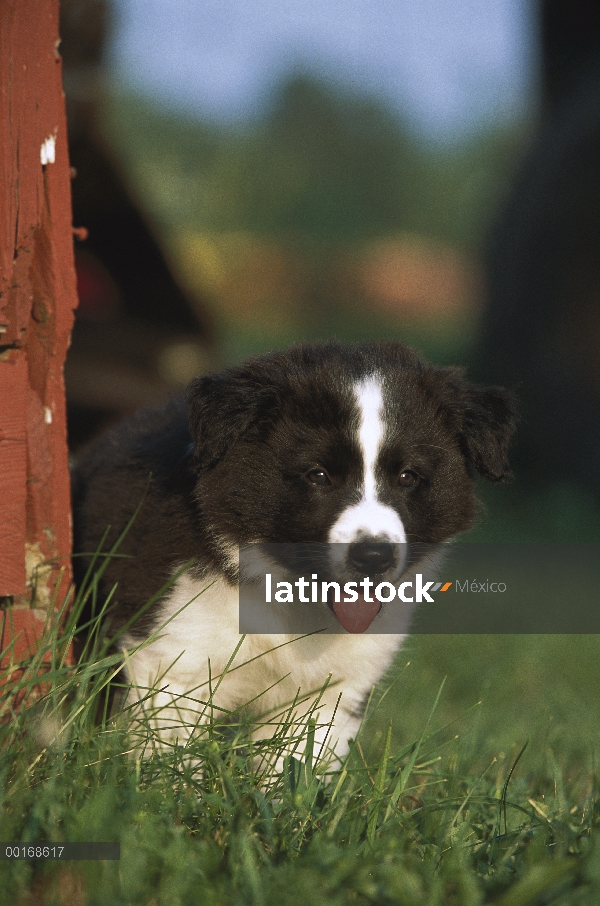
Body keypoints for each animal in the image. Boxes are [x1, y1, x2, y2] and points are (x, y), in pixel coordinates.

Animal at [71, 340, 516, 764]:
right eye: (318, 475)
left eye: (408, 477)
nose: (373, 558)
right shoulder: (174, 659)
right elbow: (167, 759)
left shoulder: (334, 688)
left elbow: (296, 769)